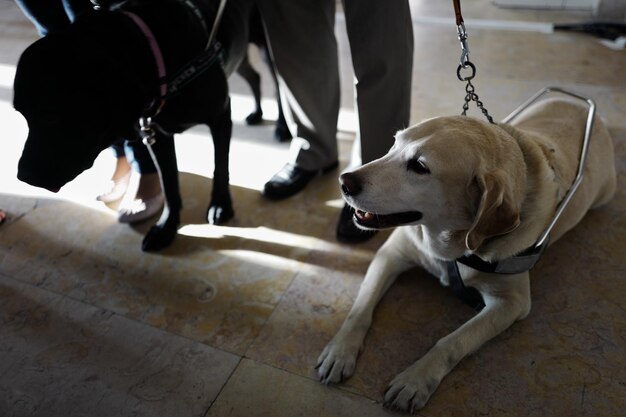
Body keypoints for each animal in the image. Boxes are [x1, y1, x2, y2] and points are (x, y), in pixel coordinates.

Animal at [12, 0, 251, 250]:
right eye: (22, 115)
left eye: (51, 115)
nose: (23, 176)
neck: (155, 52)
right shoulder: (157, 135)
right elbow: (169, 184)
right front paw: (166, 227)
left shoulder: (221, 116)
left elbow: (220, 167)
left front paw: (221, 205)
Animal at [316, 96, 616, 412]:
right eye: (394, 144)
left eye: (419, 166)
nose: (344, 182)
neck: (448, 246)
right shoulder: (389, 255)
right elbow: (359, 309)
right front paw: (339, 351)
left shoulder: (512, 303)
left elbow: (453, 341)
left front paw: (415, 380)